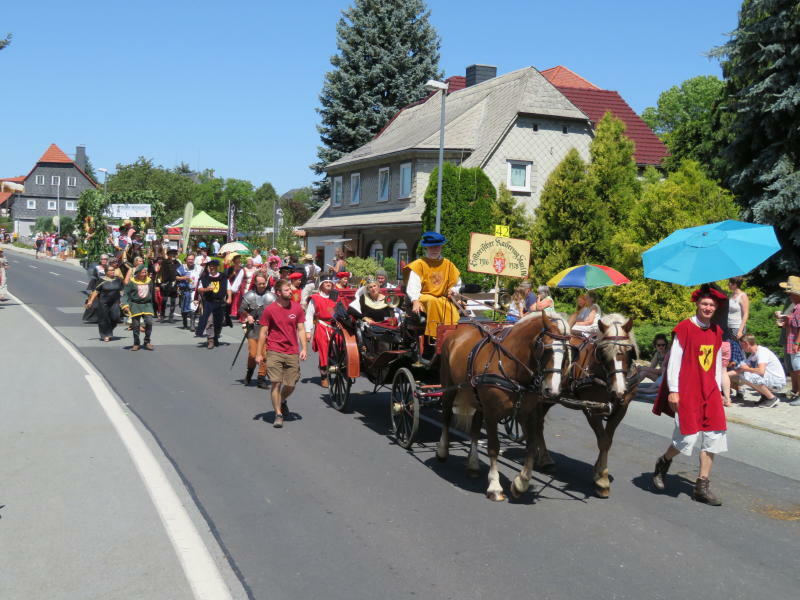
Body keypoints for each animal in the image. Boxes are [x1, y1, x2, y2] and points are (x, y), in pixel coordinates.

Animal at [434, 310, 572, 502]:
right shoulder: (492, 413)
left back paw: (473, 464)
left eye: (566, 353)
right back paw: (442, 451)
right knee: (446, 416)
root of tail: (456, 333)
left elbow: (531, 446)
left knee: (475, 429)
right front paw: (495, 486)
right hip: (449, 388)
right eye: (546, 349)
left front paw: (521, 483)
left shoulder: (527, 414)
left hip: (478, 400)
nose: (552, 390)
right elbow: (494, 448)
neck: (512, 367)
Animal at [532, 314, 636, 496]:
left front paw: (598, 470)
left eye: (629, 351)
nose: (619, 390)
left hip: (549, 396)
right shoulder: (592, 409)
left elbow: (608, 440)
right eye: (602, 352)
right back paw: (544, 459)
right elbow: (602, 441)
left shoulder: (621, 409)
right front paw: (602, 480)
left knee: (539, 423)